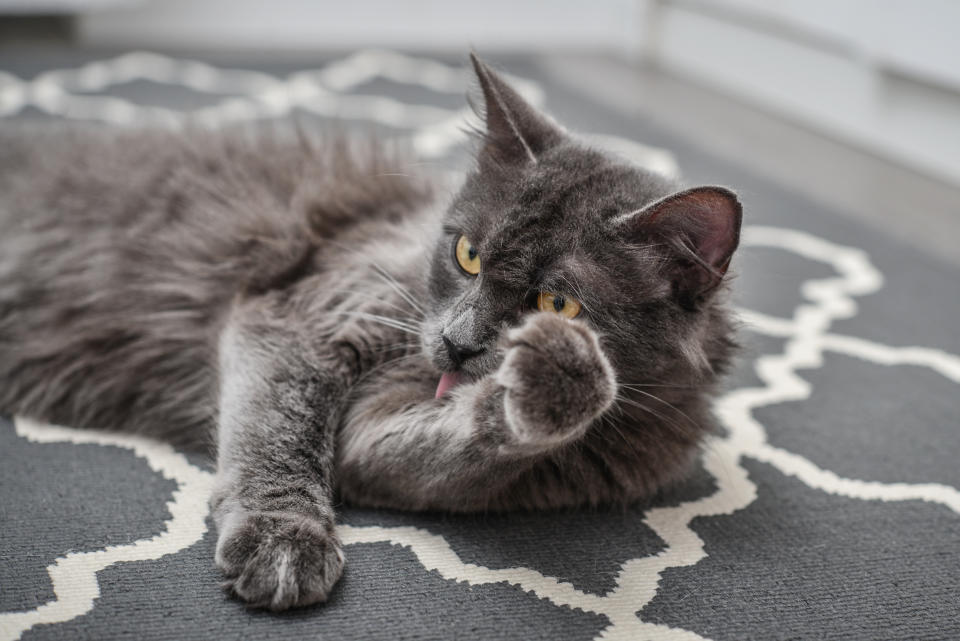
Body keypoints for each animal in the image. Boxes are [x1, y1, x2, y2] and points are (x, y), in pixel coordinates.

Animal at [0, 56, 744, 608]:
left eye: (558, 302)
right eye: (467, 254)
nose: (458, 342)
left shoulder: (397, 444)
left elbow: (447, 443)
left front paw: (554, 378)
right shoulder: (305, 315)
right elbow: (280, 432)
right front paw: (282, 541)